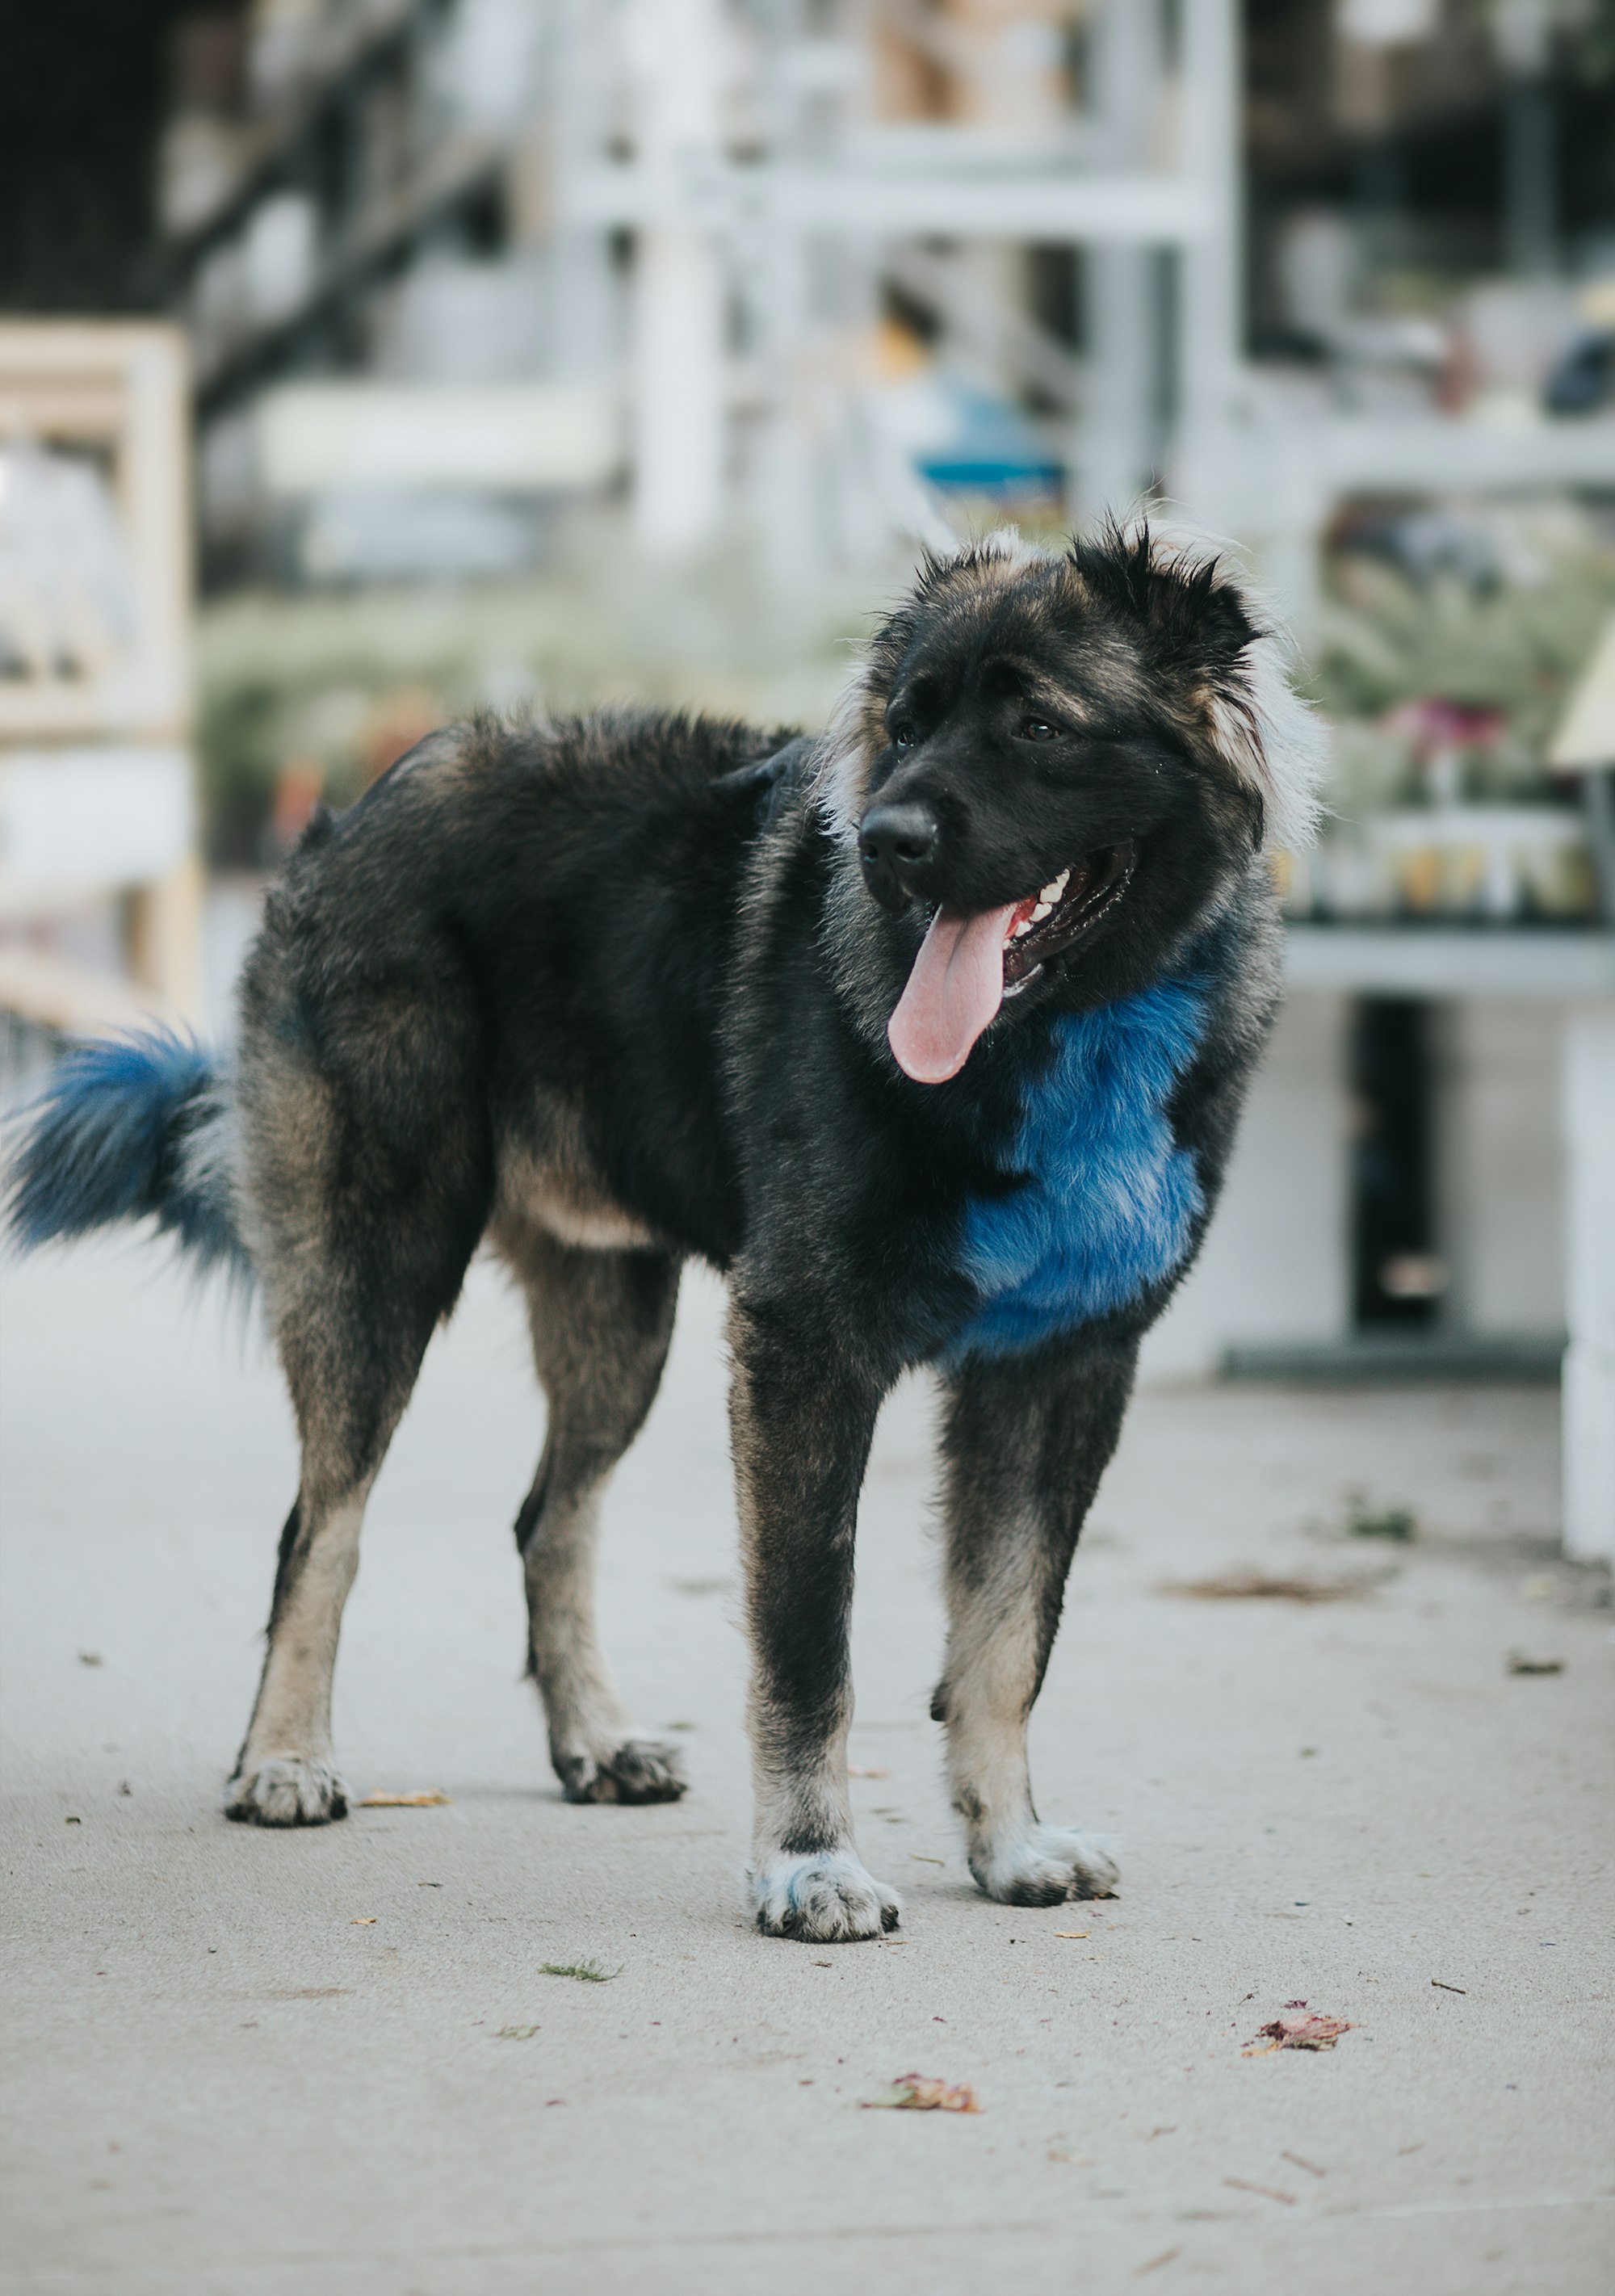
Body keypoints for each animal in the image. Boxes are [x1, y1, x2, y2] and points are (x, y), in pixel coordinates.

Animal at [6, 521, 1323, 1937]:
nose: (883, 840)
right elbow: (810, 1644)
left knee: (548, 1518)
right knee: (323, 1524)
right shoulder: (807, 1354)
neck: (1065, 1033)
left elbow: (1011, 1633)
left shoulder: (1056, 1370)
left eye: (1036, 722)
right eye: (905, 726)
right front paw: (809, 1862)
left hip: (616, 1321)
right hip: (377, 1273)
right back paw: (286, 1757)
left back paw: (592, 1739)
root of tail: (363, 802)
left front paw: (1008, 1840)